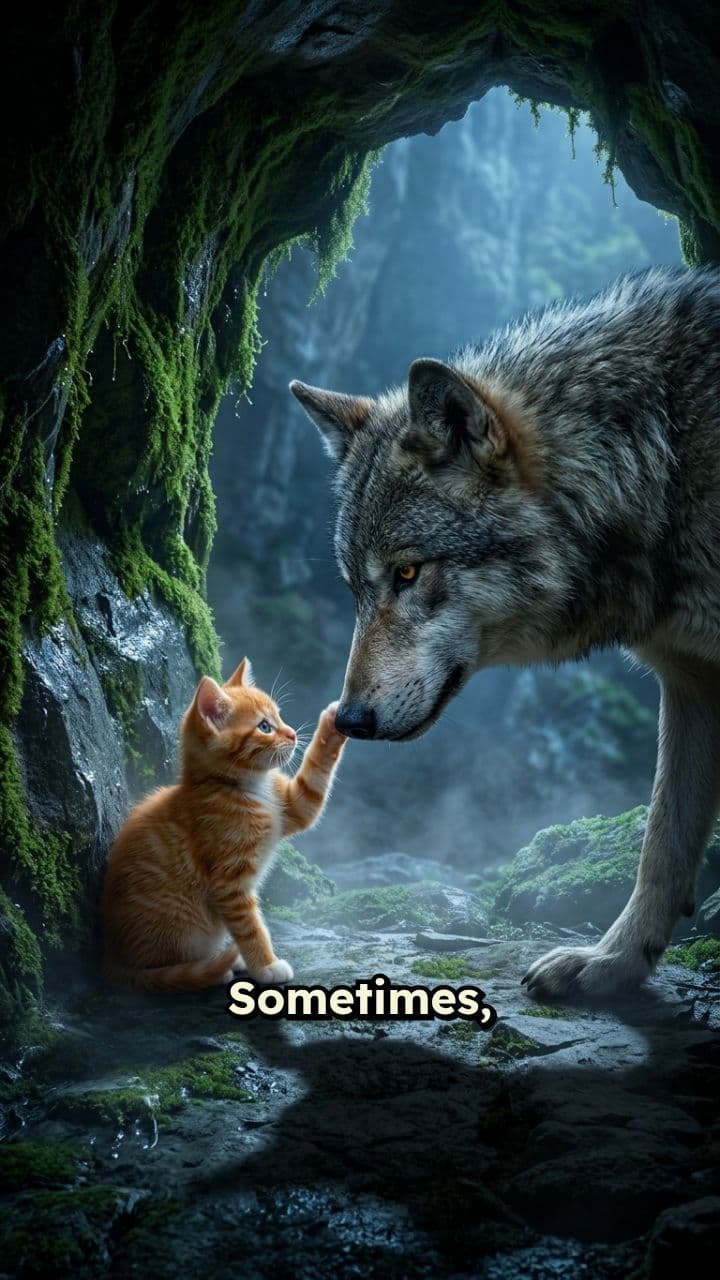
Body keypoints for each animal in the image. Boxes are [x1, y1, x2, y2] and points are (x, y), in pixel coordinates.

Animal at [289, 266, 720, 1000]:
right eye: (355, 590)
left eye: (408, 572)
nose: (347, 719)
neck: (658, 462)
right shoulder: (691, 683)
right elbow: (662, 841)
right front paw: (613, 964)